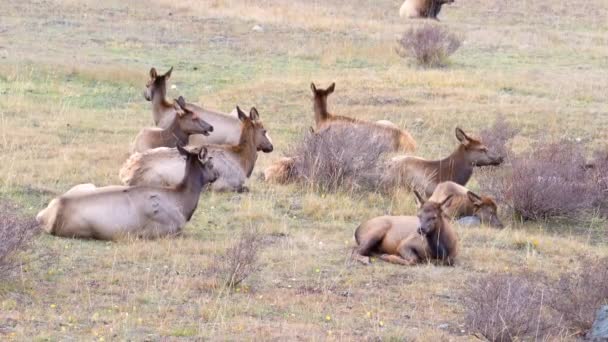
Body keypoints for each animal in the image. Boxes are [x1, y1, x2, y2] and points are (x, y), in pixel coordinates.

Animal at [36, 147, 220, 240]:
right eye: (211, 162)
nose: (218, 174)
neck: (182, 201)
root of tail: (48, 216)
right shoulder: (169, 229)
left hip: (87, 185)